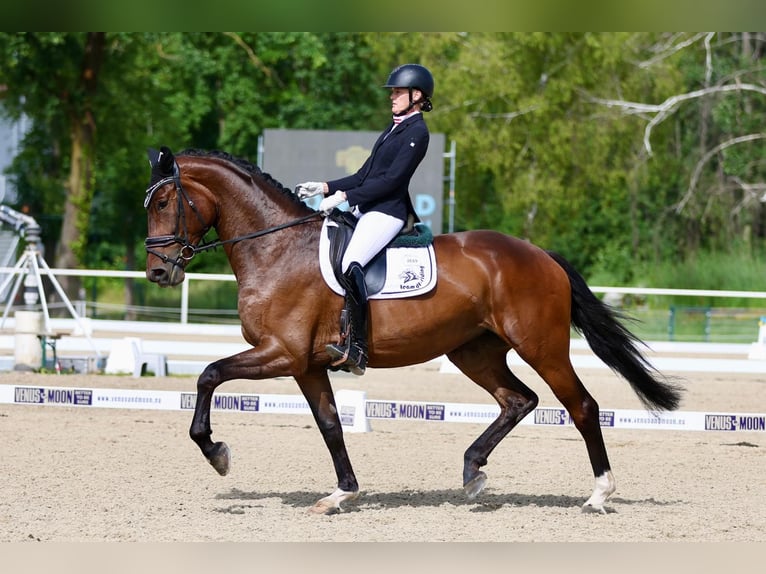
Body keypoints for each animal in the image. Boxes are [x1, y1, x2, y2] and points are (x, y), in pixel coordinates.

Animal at [144, 147, 684, 516]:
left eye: (166, 200)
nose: (157, 272)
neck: (275, 250)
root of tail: (541, 254)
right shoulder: (307, 365)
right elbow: (330, 426)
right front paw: (340, 494)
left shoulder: (282, 353)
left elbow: (209, 375)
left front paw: (216, 453)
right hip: (474, 351)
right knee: (518, 400)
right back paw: (472, 473)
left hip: (541, 345)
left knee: (582, 406)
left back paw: (598, 494)